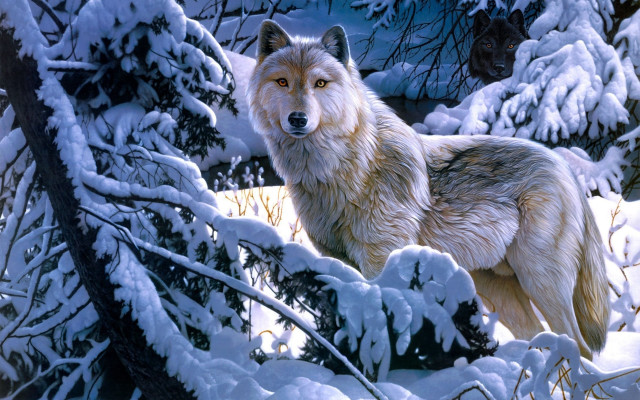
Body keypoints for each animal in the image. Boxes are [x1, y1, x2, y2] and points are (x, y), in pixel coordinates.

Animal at [247, 21, 610, 359]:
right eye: (282, 82)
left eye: (320, 83)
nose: (297, 119)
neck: (342, 169)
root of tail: (565, 168)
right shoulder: (338, 261)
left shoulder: (381, 261)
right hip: (497, 290)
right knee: (539, 337)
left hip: (540, 282)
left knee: (579, 346)